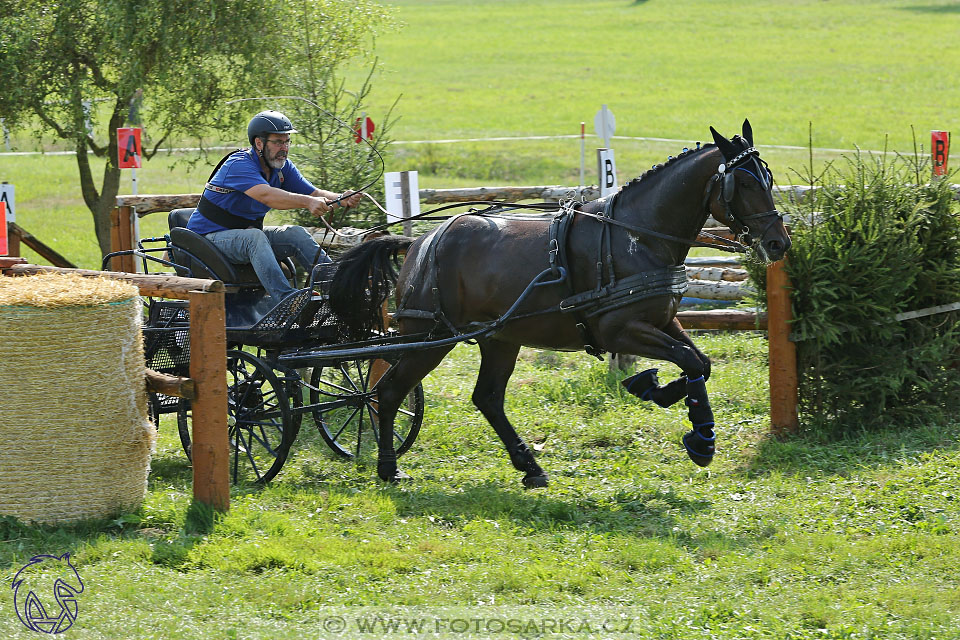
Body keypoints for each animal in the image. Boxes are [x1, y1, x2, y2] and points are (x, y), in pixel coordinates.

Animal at [328, 120, 788, 488]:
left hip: (499, 338)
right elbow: (689, 362)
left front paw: (665, 398)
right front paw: (699, 437)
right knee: (388, 392)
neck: (637, 236)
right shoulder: (621, 331)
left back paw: (529, 466)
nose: (777, 243)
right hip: (430, 337)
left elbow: (699, 363)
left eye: (767, 177)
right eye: (745, 183)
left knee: (487, 398)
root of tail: (419, 242)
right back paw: (388, 467)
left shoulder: (662, 321)